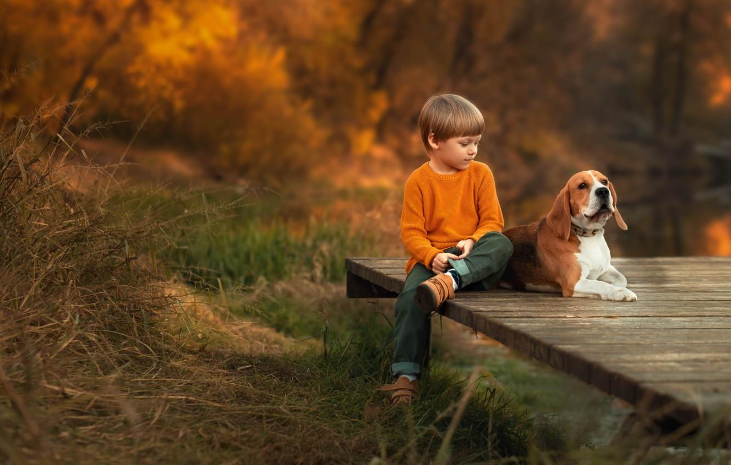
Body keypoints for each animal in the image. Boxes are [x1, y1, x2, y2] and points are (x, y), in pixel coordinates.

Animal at [500, 170, 636, 300]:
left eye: (604, 181)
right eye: (582, 185)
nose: (603, 191)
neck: (588, 237)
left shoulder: (605, 268)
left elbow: (622, 279)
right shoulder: (573, 283)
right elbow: (601, 285)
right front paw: (621, 292)